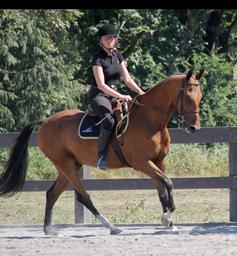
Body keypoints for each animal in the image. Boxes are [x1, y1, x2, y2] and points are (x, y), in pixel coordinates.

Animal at [0, 68, 204, 236]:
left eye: (200, 96)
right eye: (188, 97)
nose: (194, 128)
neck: (149, 120)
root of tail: (45, 122)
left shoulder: (158, 161)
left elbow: (162, 190)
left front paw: (169, 223)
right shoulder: (142, 163)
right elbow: (168, 183)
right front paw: (167, 218)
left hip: (68, 167)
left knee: (52, 194)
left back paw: (49, 230)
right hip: (66, 166)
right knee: (84, 197)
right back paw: (112, 227)